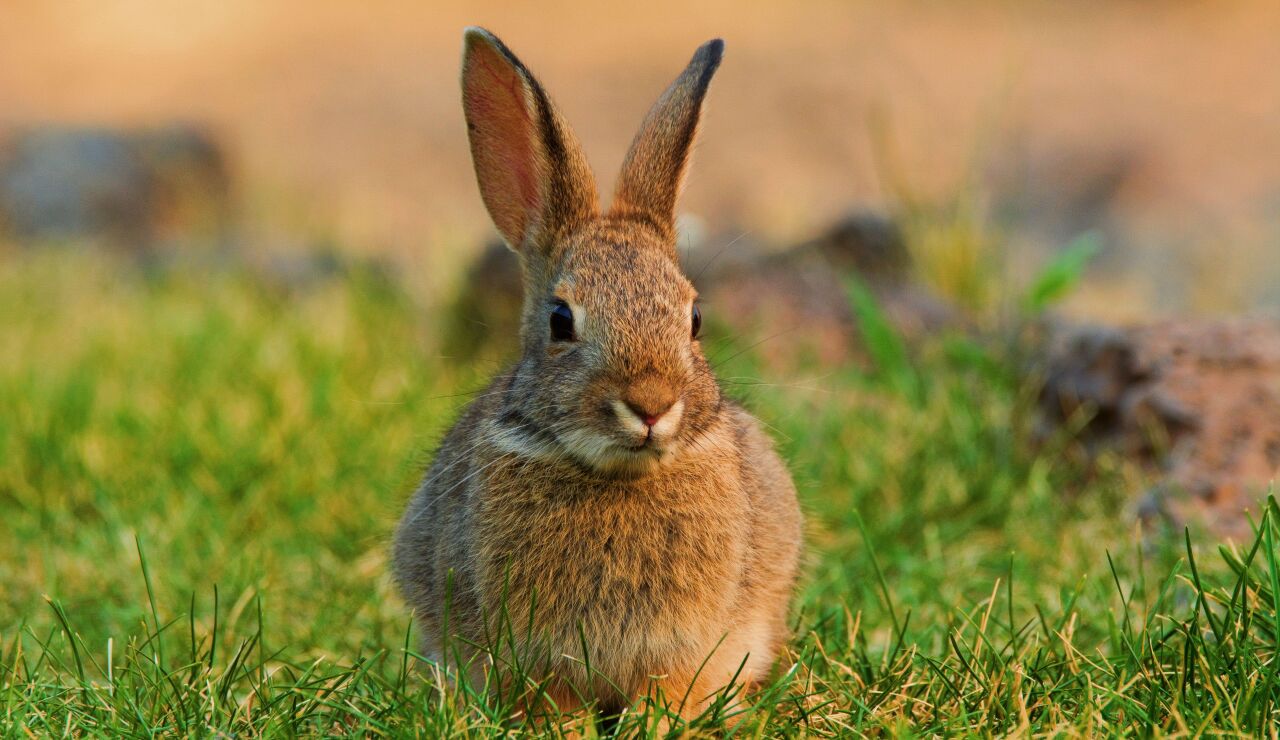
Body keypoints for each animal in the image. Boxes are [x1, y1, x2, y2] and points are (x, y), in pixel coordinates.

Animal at [393, 27, 803, 723]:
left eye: (695, 317)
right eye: (561, 320)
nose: (651, 404)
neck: (616, 476)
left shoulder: (693, 643)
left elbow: (670, 686)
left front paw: (652, 724)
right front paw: (566, 728)